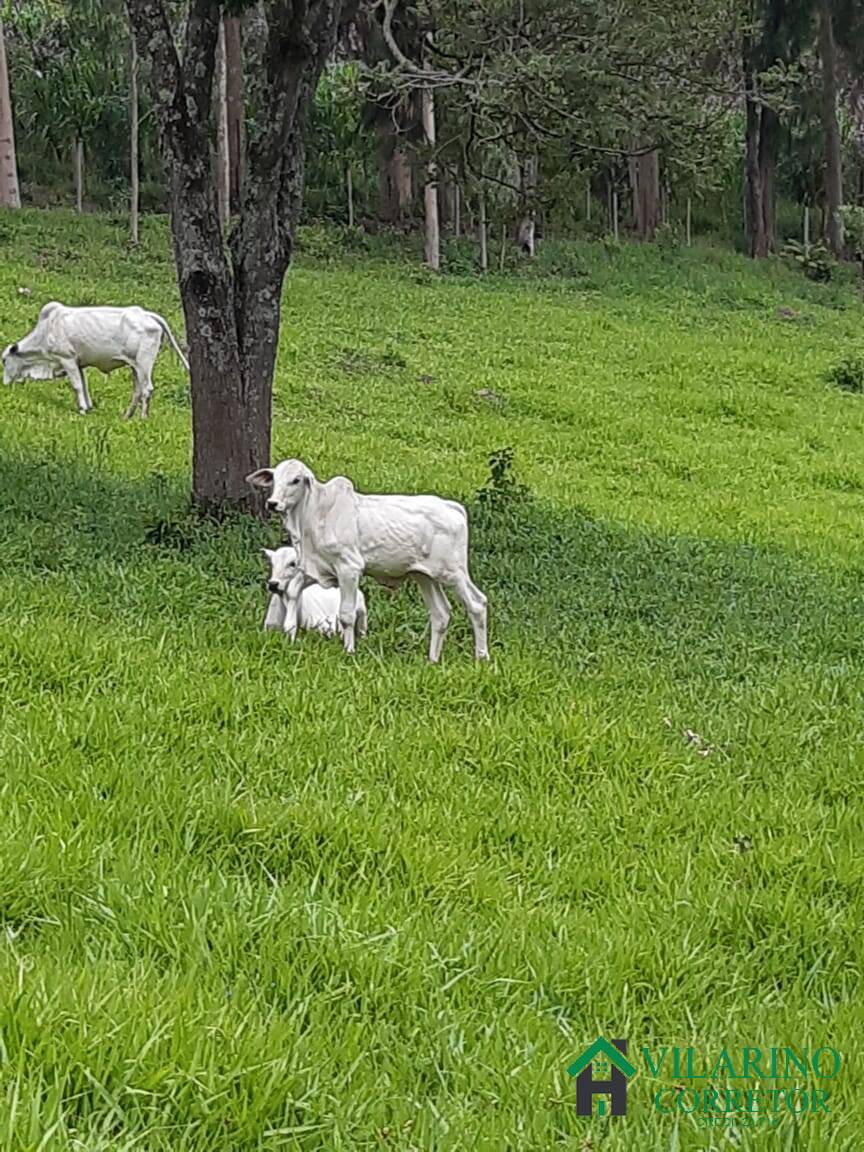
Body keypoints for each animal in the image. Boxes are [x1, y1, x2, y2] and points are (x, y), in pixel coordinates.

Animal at [1, 301, 191, 419]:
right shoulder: (78, 363)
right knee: (137, 391)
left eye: (4, 360)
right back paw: (127, 416)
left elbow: (77, 386)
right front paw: (88, 406)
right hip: (135, 366)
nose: (4, 383)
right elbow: (84, 385)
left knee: (147, 389)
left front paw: (82, 409)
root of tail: (147, 314)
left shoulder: (67, 359)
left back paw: (143, 418)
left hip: (145, 364)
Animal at [246, 453, 490, 663]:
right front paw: (290, 634)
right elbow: (293, 592)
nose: (272, 503)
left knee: (477, 604)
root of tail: (452, 506)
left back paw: (481, 657)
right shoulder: (316, 567)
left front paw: (349, 651)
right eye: (275, 478)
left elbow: (346, 614)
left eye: (296, 480)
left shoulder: (349, 568)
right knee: (440, 613)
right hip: (424, 576)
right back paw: (432, 659)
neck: (314, 514)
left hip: (453, 572)